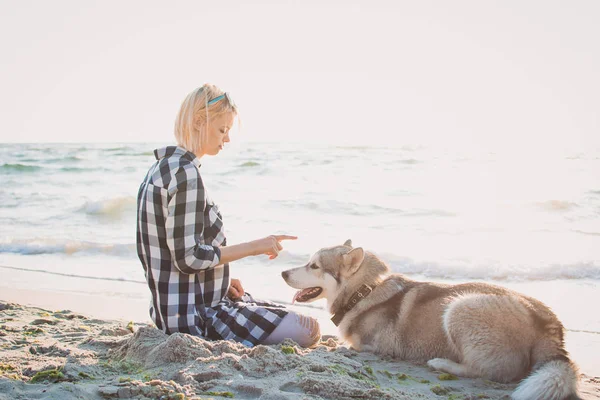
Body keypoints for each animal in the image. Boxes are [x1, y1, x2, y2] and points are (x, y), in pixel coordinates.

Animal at [282, 241, 580, 400]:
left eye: (314, 266)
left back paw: (443, 364)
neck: (364, 291)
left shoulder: (375, 347)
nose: (283, 272)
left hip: (460, 306)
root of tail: (551, 325)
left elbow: (348, 345)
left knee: (493, 372)